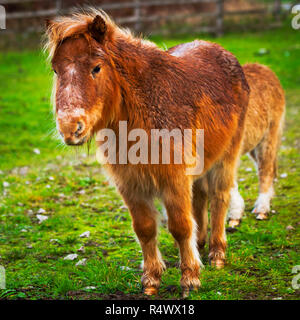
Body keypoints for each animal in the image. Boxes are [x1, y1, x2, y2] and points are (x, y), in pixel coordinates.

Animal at [44, 9, 251, 298]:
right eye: (56, 69)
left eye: (96, 67)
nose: (70, 128)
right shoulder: (131, 184)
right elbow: (144, 229)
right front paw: (152, 279)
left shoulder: (173, 180)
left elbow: (180, 226)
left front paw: (190, 279)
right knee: (200, 198)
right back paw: (200, 245)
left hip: (226, 157)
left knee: (219, 197)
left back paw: (217, 254)